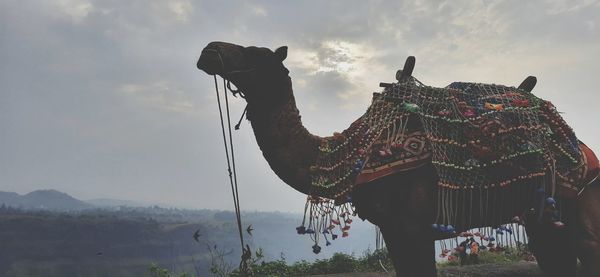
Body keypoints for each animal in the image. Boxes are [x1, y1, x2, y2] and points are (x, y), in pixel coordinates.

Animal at [197, 41, 600, 276]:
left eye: (254, 53)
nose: (209, 50)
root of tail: (582, 149)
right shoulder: (393, 229)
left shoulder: (411, 226)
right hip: (544, 211)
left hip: (567, 201)